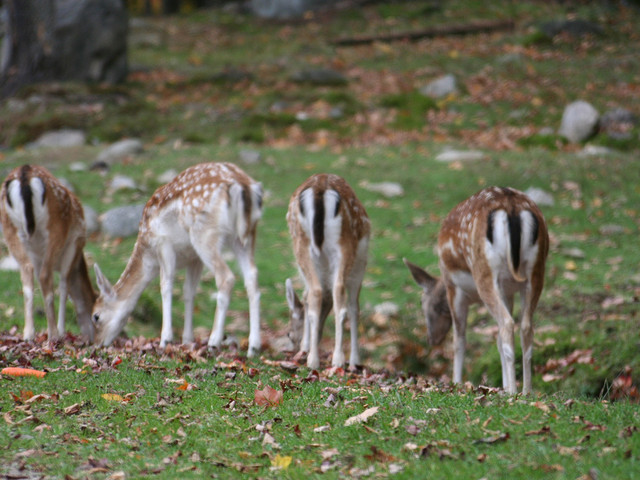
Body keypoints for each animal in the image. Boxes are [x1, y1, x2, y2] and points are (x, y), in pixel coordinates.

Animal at [0, 165, 96, 342]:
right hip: (54, 229)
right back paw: (53, 334)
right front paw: (62, 330)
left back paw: (28, 334)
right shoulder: (74, 243)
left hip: (10, 229)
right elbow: (64, 286)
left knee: (27, 276)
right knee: (45, 276)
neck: (79, 260)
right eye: (97, 317)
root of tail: (24, 174)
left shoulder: (38, 257)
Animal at [90, 160, 262, 352]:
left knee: (226, 277)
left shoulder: (162, 244)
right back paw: (253, 346)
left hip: (204, 234)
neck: (147, 255)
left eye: (96, 316)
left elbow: (165, 286)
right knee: (252, 277)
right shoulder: (194, 258)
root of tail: (242, 185)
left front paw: (165, 339)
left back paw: (214, 341)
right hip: (246, 236)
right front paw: (187, 339)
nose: (97, 343)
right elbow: (189, 291)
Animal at [286, 174, 370, 370]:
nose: (292, 350)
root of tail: (319, 189)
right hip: (342, 247)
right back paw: (335, 359)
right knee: (335, 293)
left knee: (321, 292)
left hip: (308, 245)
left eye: (288, 333)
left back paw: (317, 359)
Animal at [404, 187, 552, 394]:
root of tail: (511, 207)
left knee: (507, 324)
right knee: (525, 327)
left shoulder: (454, 288)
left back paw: (514, 392)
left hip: (485, 271)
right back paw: (526, 391)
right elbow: (497, 340)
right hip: (536, 270)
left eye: (422, 302)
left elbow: (459, 340)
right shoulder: (507, 290)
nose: (431, 339)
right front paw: (504, 385)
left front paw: (457, 382)